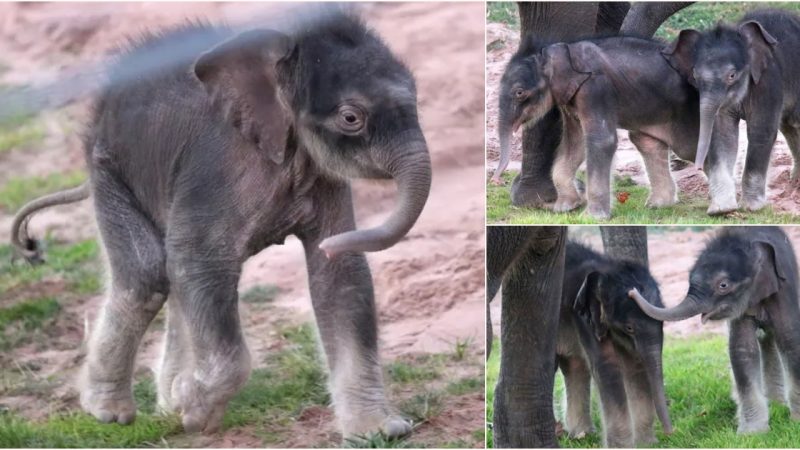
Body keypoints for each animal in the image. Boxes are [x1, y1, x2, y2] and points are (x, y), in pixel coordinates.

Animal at [7, 8, 432, 440]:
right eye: (351, 118)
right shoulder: (217, 167)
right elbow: (200, 260)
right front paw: (194, 414)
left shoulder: (322, 176)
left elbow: (340, 277)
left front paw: (381, 433)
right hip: (109, 170)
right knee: (147, 275)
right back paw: (109, 413)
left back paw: (167, 402)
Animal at [494, 6, 800, 218]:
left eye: (519, 92)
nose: (496, 179)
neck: (556, 52)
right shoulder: (572, 99)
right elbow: (575, 145)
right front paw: (564, 209)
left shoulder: (595, 88)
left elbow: (600, 141)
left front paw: (592, 217)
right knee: (647, 141)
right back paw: (660, 205)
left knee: (691, 147)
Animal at [556, 241, 676, 444]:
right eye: (629, 328)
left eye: (662, 322)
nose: (671, 433)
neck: (605, 269)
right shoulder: (584, 318)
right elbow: (607, 367)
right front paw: (623, 445)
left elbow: (634, 366)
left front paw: (646, 444)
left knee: (574, 365)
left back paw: (581, 435)